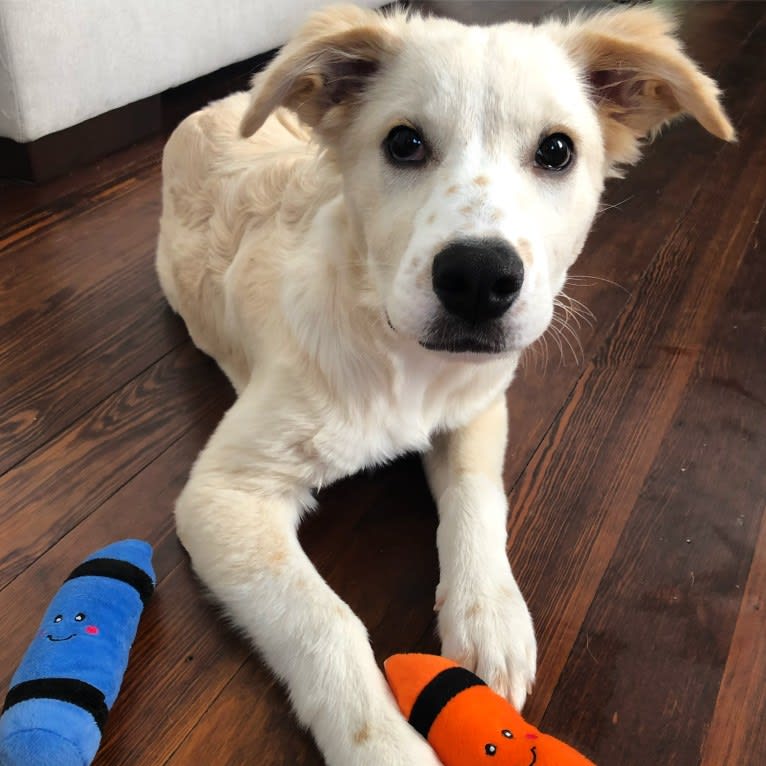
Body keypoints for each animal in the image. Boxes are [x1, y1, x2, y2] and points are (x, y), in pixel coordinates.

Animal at [154, 4, 732, 760]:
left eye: (556, 151)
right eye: (404, 143)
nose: (480, 280)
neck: (405, 361)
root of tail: (208, 109)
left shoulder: (480, 406)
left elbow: (477, 498)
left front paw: (490, 617)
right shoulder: (225, 495)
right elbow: (324, 619)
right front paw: (385, 746)